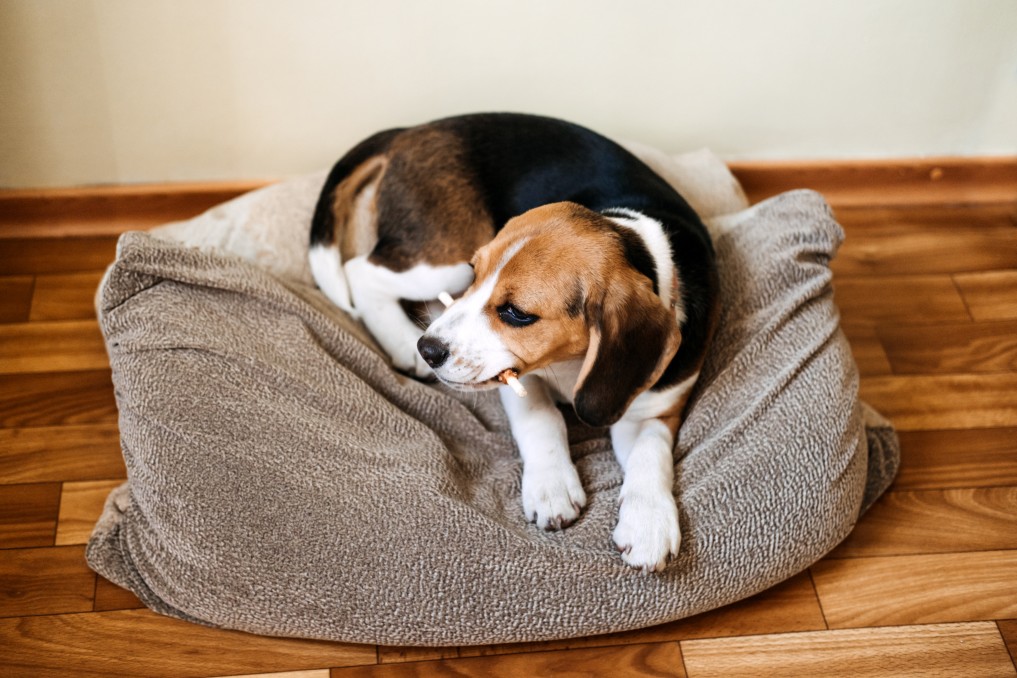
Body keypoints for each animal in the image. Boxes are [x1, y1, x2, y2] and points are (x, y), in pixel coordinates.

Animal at [307, 112, 715, 573]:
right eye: (476, 272)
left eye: (517, 313)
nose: (429, 350)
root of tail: (413, 130)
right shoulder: (517, 377)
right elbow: (542, 419)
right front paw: (552, 486)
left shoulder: (654, 409)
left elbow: (651, 453)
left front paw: (649, 524)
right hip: (440, 261)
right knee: (360, 271)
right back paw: (399, 339)